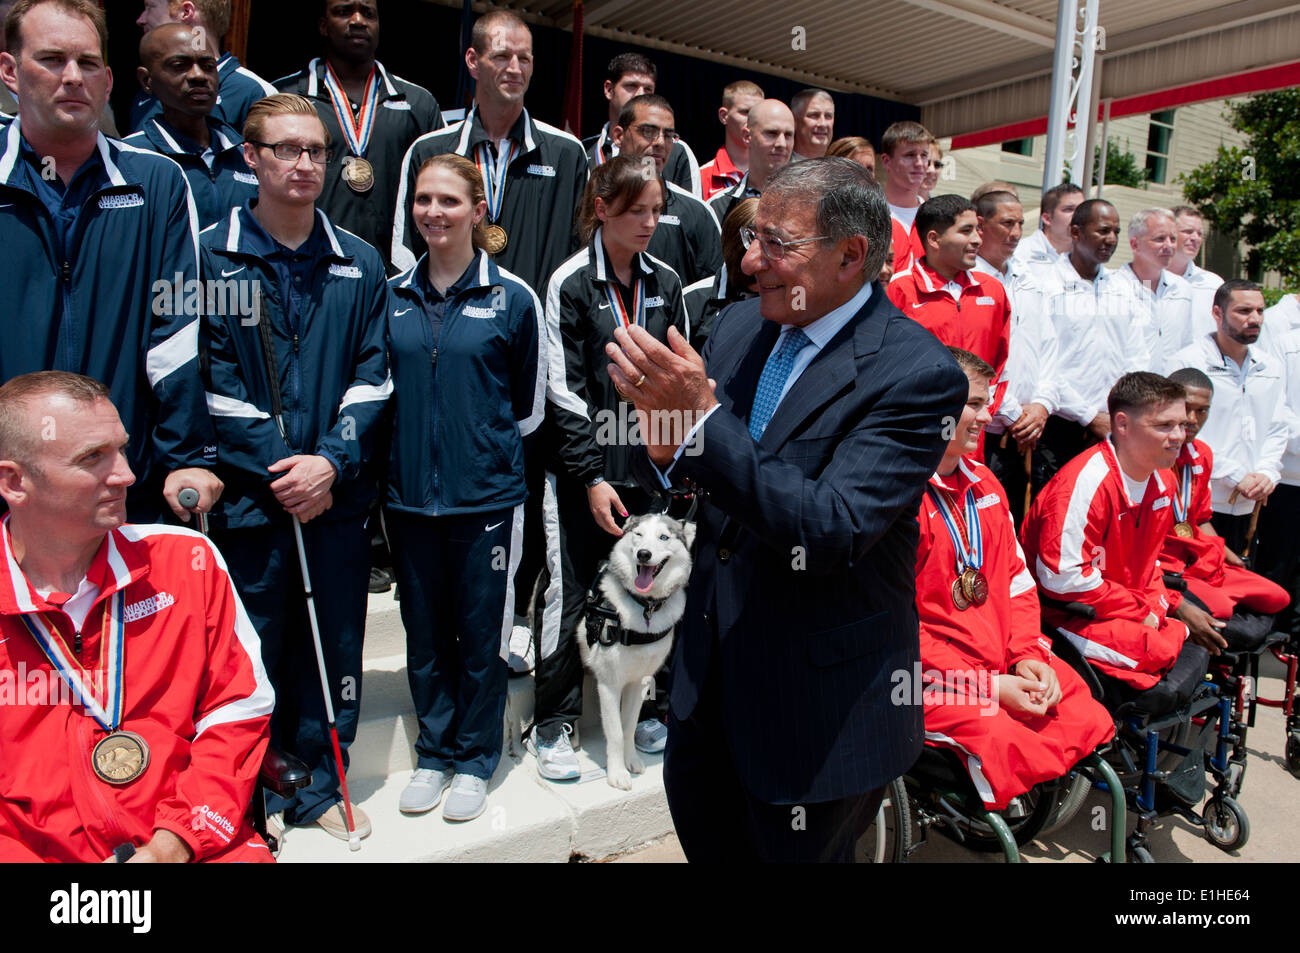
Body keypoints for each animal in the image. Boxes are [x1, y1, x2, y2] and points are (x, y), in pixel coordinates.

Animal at [579, 512, 696, 790]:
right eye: (639, 534)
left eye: (664, 537)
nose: (643, 554)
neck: (645, 607)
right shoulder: (609, 683)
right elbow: (615, 732)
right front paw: (617, 773)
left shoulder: (640, 681)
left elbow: (629, 726)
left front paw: (630, 760)